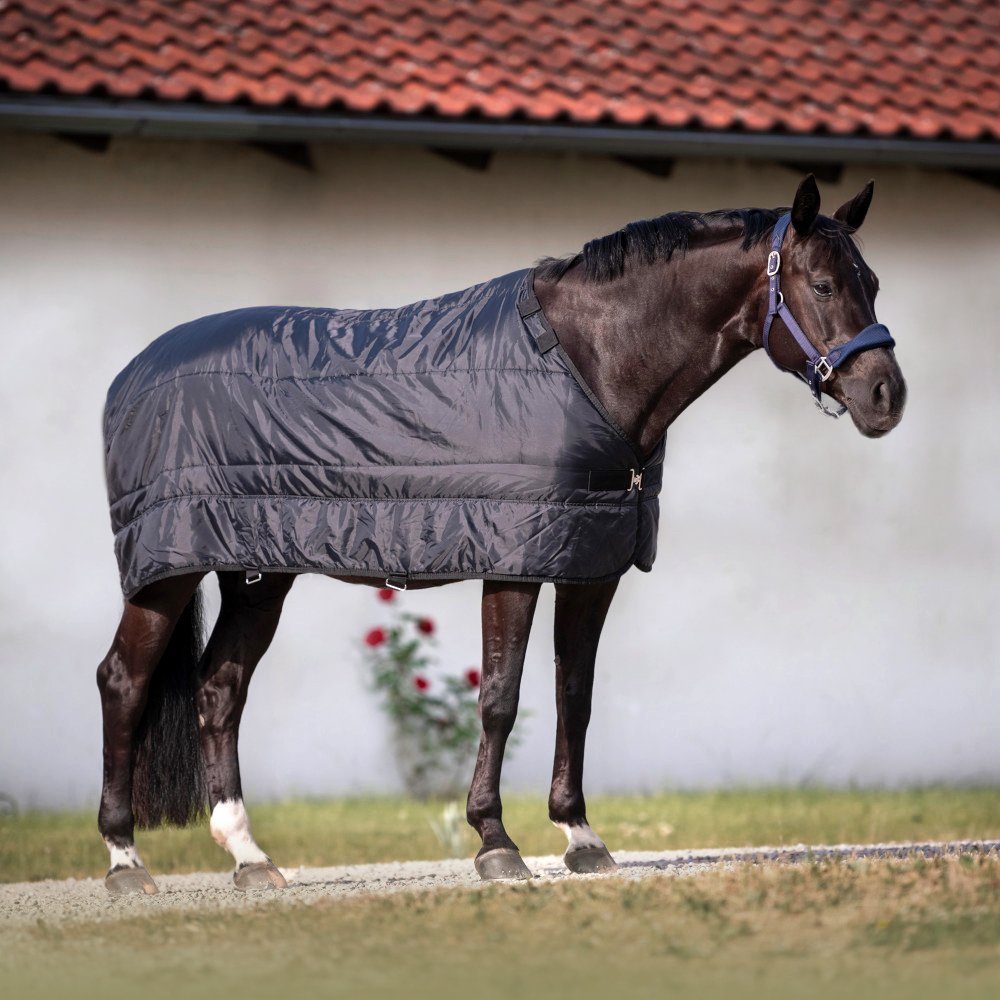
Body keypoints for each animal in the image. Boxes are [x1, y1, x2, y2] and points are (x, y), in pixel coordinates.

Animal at [96, 175, 906, 894]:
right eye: (822, 285)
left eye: (871, 281)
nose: (885, 396)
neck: (591, 362)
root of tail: (131, 374)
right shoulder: (515, 558)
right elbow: (501, 698)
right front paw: (495, 843)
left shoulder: (590, 560)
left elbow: (574, 694)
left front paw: (581, 837)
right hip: (167, 571)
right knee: (124, 682)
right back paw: (126, 861)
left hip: (256, 573)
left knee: (219, 688)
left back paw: (249, 856)